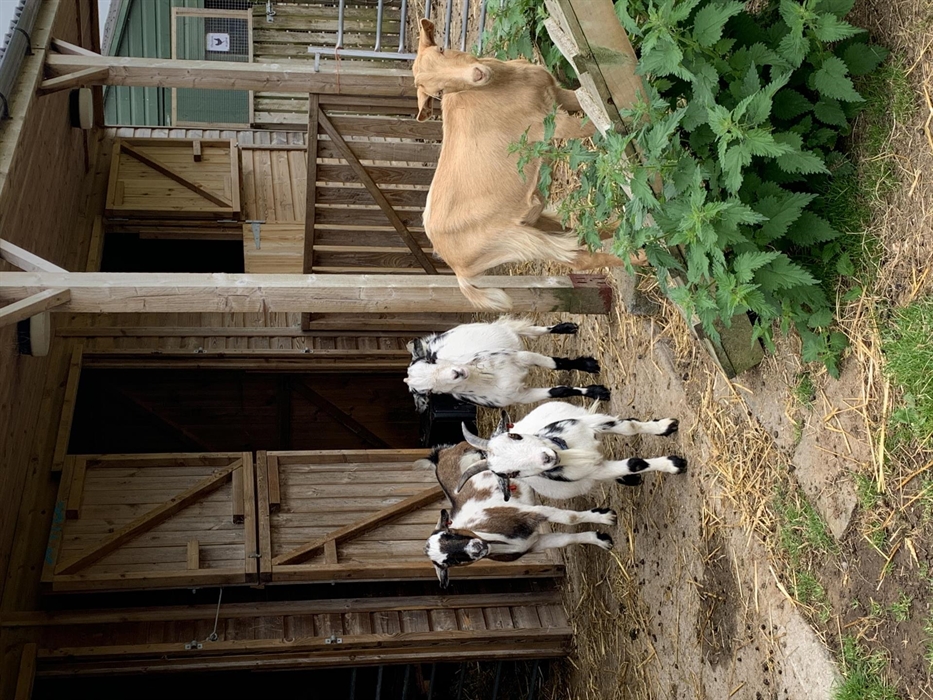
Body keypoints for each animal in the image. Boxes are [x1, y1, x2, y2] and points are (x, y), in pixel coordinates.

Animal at [405, 316, 610, 409]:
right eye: (429, 391)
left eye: (432, 360)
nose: (457, 373)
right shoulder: (520, 396)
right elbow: (560, 391)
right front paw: (598, 392)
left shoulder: (521, 357)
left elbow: (556, 363)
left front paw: (589, 366)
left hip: (500, 331)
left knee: (533, 330)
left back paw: (566, 328)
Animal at [413, 19, 637, 311]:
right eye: (438, 91)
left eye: (441, 49)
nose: (477, 74)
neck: (504, 81)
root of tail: (457, 270)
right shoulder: (551, 124)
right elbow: (593, 123)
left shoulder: (557, 94)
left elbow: (581, 99)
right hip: (516, 241)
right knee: (576, 256)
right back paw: (641, 257)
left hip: (532, 218)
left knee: (580, 233)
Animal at [419, 442, 616, 587]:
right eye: (448, 562)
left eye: (451, 533)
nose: (477, 548)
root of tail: (439, 456)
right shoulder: (533, 543)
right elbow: (565, 539)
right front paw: (601, 539)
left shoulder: (528, 512)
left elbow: (570, 517)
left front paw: (606, 517)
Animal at [458, 402, 687, 501]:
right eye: (510, 474)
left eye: (515, 436)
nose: (547, 458)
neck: (568, 450)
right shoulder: (594, 471)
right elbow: (633, 463)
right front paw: (675, 464)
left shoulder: (593, 423)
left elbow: (630, 427)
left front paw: (666, 427)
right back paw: (629, 479)